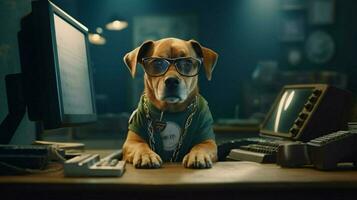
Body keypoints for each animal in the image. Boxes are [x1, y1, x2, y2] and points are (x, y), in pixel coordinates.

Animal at [121, 37, 217, 169]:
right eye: (158, 63)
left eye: (187, 63)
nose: (171, 81)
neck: (171, 110)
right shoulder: (132, 141)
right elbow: (140, 145)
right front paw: (146, 155)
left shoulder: (208, 140)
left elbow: (201, 145)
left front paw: (198, 155)